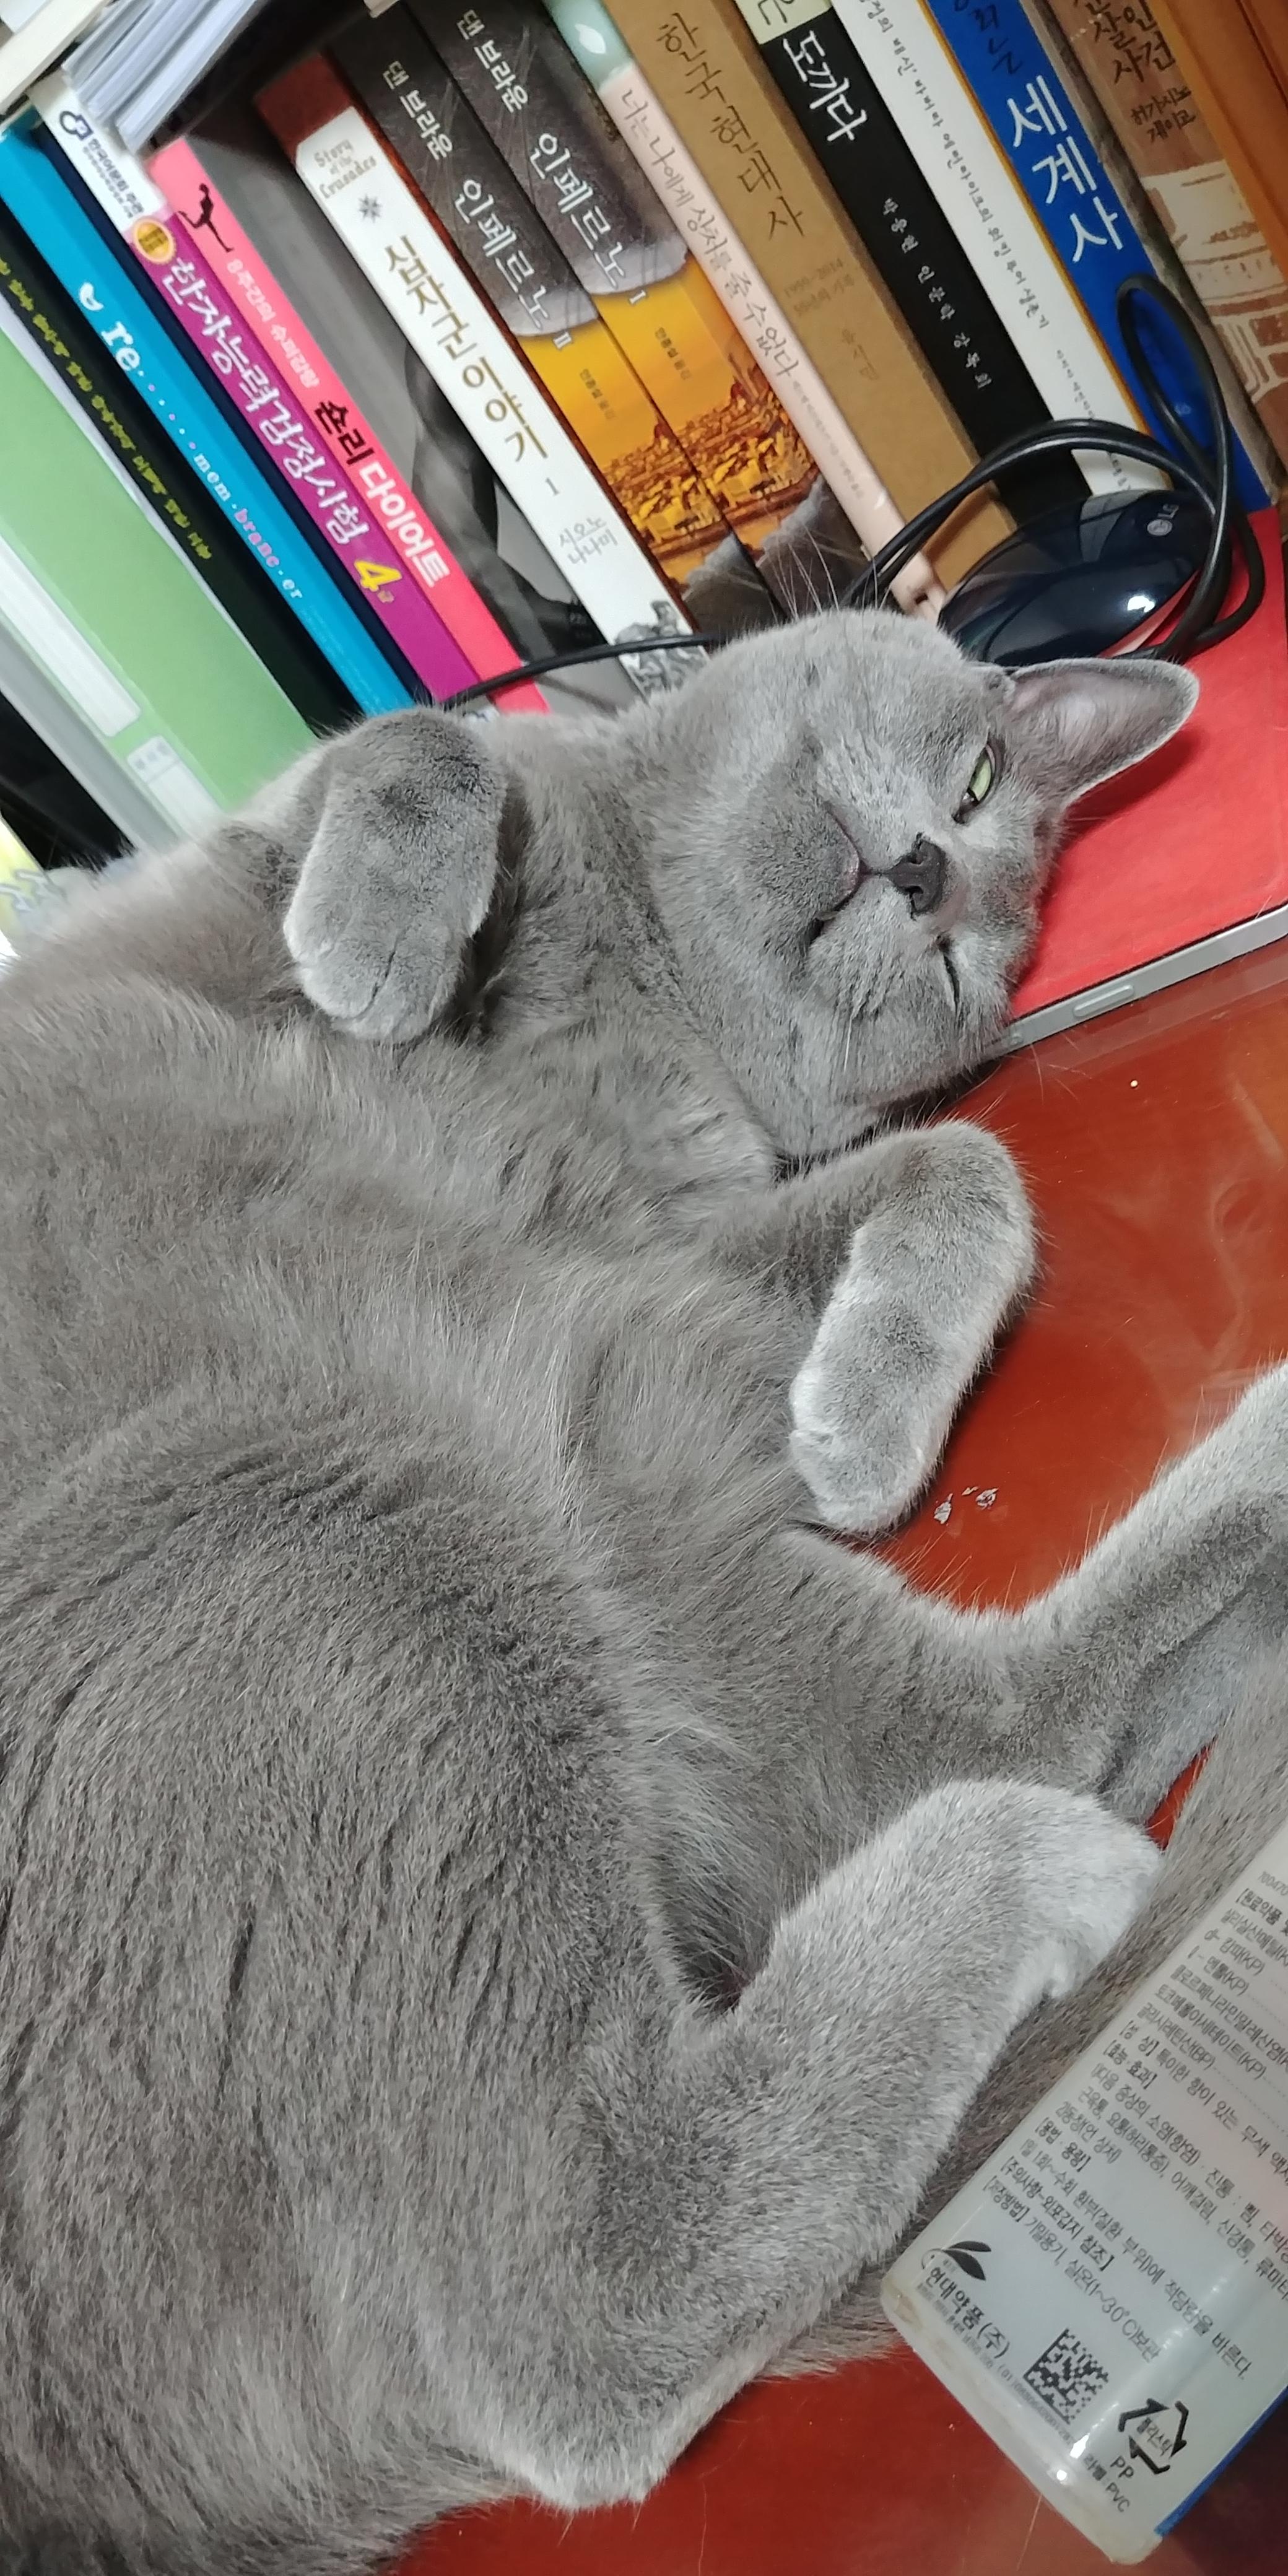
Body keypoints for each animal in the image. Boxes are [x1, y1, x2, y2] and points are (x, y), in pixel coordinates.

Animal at [3, 608, 1288, 2576]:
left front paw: (862, 1422)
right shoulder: (265, 895)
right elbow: (422, 744)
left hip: (413, 1494)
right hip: (404, 1492)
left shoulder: (657, 1254)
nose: (931, 878)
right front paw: (380, 950)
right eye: (981, 782)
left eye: (981, 937)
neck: (634, 980)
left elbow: (966, 1160)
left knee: (593, 2297)